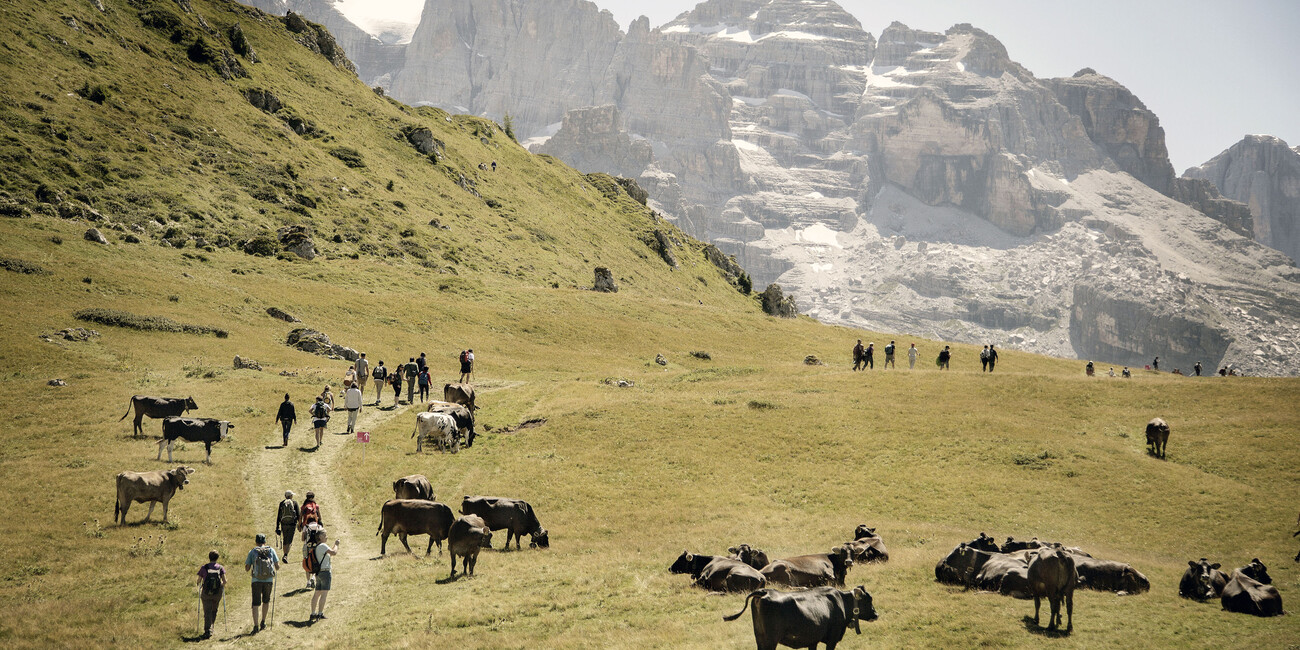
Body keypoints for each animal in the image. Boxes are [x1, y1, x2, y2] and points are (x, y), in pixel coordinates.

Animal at [722, 585, 873, 650]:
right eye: (869, 600)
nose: (875, 614)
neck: (841, 600)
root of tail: (764, 592)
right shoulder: (832, 639)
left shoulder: (813, 640)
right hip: (771, 640)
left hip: (759, 637)